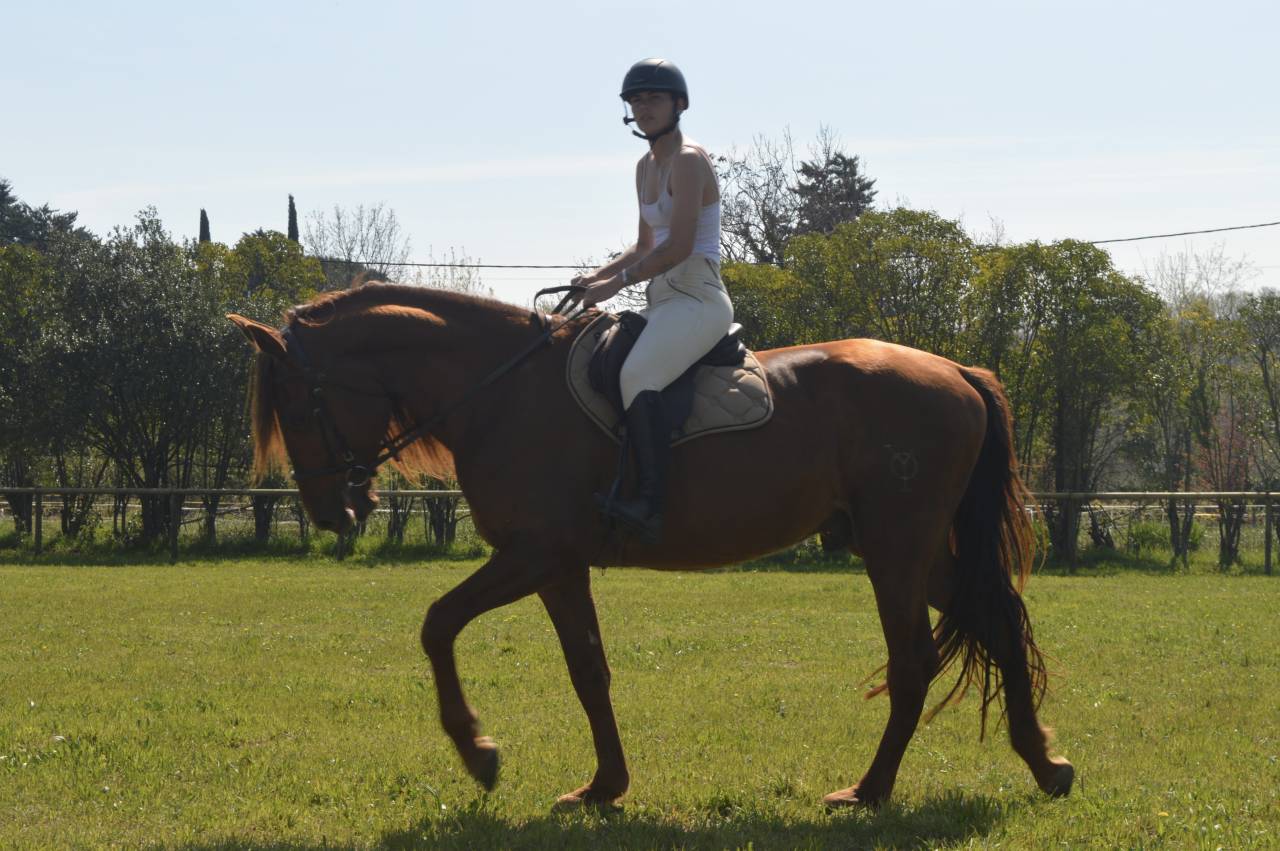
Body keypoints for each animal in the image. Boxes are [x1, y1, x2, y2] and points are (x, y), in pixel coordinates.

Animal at [227, 282, 1073, 811]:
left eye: (296, 402)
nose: (330, 510)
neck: (502, 393)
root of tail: (955, 370)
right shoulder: (559, 567)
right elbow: (588, 670)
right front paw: (603, 785)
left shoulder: (532, 555)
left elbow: (438, 624)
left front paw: (478, 750)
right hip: (916, 551)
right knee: (998, 625)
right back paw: (1044, 762)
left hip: (897, 548)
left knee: (915, 661)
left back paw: (869, 789)